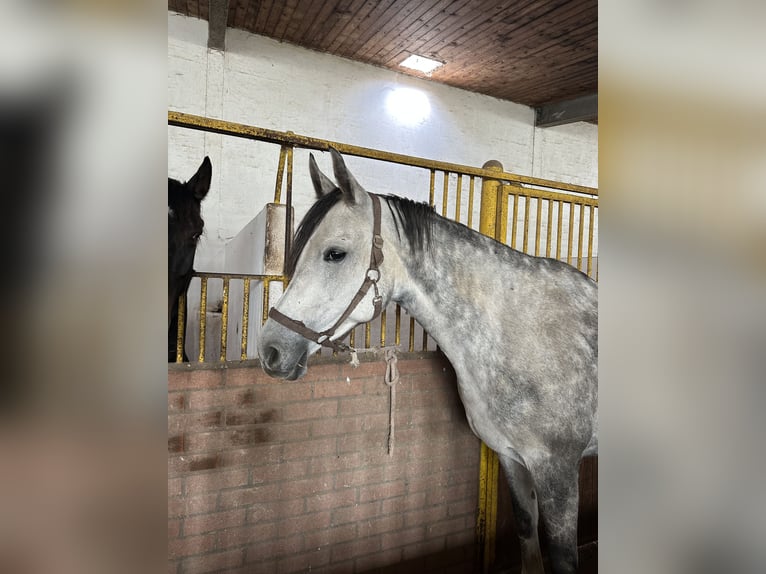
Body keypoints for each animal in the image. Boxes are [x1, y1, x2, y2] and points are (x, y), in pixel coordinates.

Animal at [257, 149, 597, 574]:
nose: (269, 350)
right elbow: (526, 536)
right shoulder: (510, 458)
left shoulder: (559, 470)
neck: (520, 332)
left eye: (335, 254)